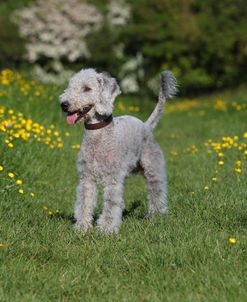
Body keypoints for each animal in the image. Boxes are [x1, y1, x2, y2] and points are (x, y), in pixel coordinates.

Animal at [58, 68, 177, 234]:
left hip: (153, 167)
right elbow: (84, 202)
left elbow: (111, 204)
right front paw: (82, 227)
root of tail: (146, 125)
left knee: (157, 190)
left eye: (87, 88)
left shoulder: (112, 179)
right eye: (70, 86)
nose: (64, 104)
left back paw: (157, 215)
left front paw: (106, 229)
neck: (98, 137)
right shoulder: (86, 178)